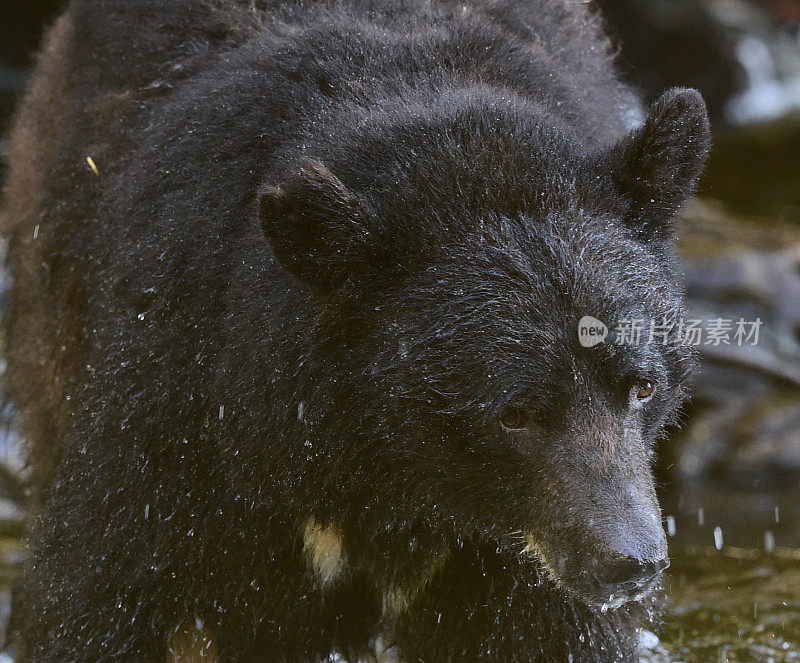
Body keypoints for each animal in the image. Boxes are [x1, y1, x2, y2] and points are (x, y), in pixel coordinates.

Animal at [4, 1, 708, 663]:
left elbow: (547, 635)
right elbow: (107, 587)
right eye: (514, 412)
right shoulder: (182, 406)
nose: (629, 561)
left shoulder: (513, 556)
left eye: (642, 386)